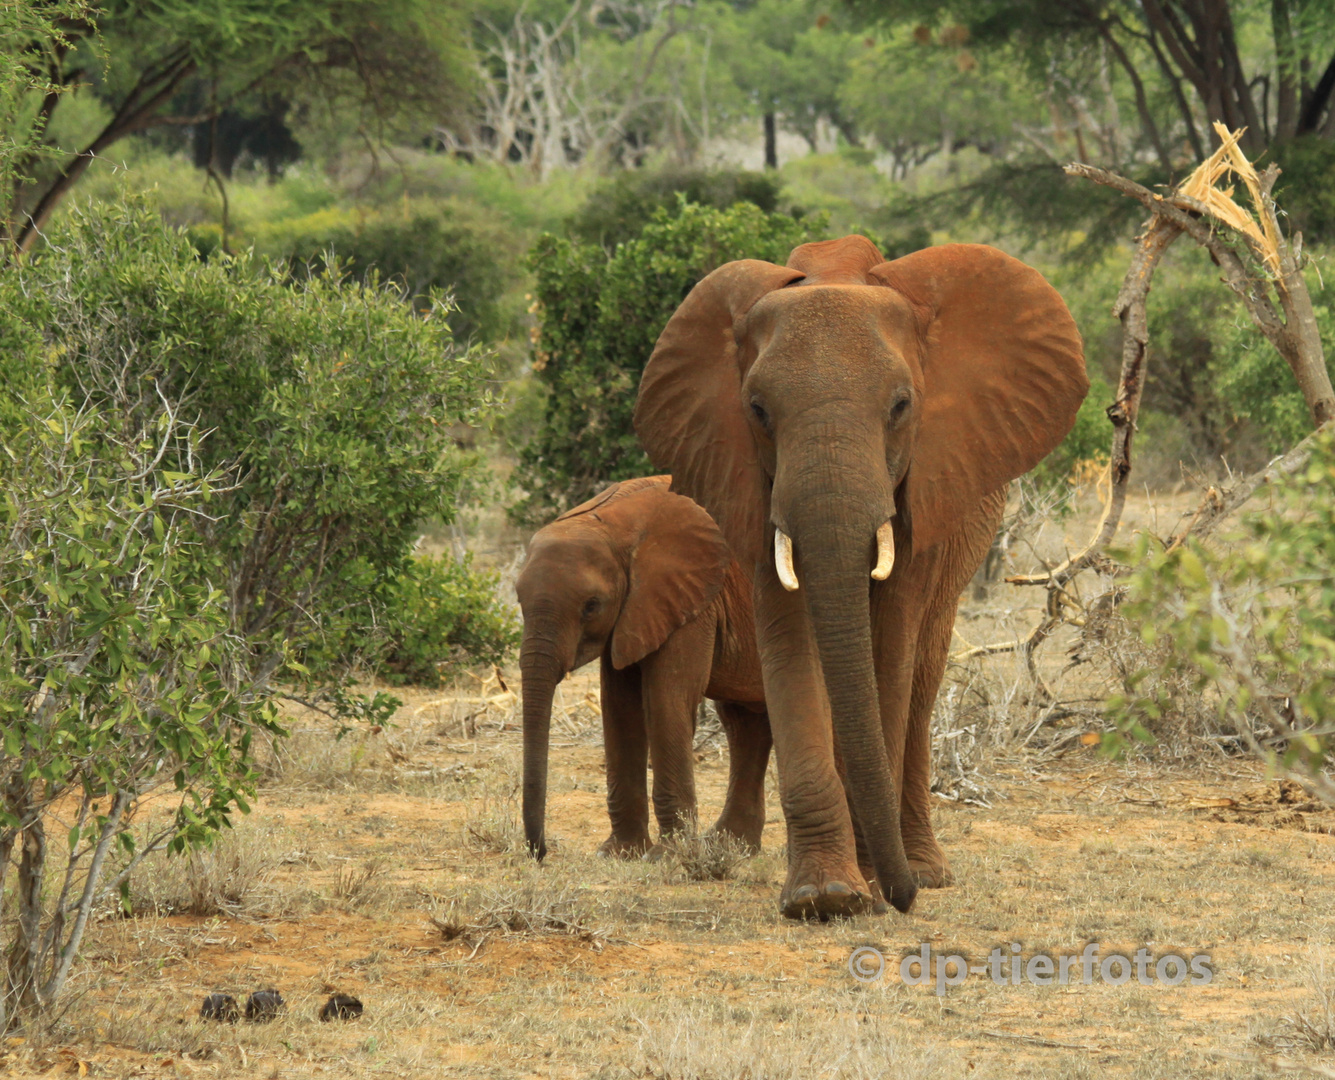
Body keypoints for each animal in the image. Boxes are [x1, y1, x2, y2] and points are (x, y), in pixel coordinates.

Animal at [520, 475, 774, 865]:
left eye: (591, 606)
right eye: (518, 599)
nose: (541, 852)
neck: (614, 522)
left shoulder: (692, 598)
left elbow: (666, 701)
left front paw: (668, 856)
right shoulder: (634, 611)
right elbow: (620, 709)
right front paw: (618, 854)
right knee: (746, 725)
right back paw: (731, 847)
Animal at [632, 236, 1084, 918]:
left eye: (901, 406)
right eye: (757, 411)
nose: (898, 898)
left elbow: (887, 648)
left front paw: (870, 884)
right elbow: (791, 641)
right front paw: (826, 898)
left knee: (921, 685)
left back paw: (925, 871)